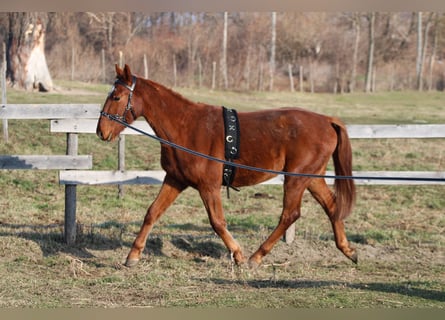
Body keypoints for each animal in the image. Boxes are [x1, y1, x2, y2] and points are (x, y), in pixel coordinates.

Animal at [97, 64, 358, 268]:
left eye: (116, 97)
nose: (101, 131)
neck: (186, 127)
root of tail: (327, 120)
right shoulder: (175, 180)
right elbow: (152, 212)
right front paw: (133, 255)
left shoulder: (208, 187)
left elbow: (217, 222)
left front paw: (238, 255)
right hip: (311, 177)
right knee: (332, 206)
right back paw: (347, 250)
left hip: (296, 178)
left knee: (290, 215)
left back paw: (256, 257)